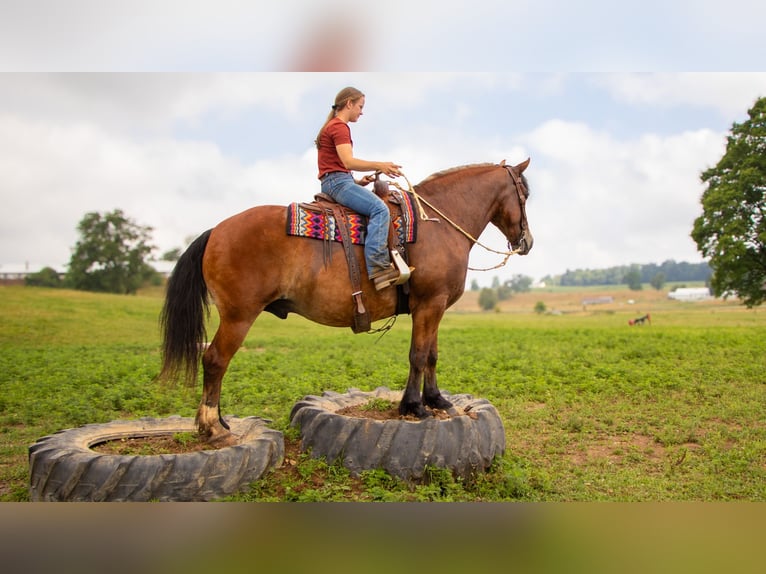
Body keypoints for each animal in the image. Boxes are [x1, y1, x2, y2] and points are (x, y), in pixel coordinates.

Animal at [160, 160, 536, 448]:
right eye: (526, 194)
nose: (527, 242)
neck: (439, 223)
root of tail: (216, 230)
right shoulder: (430, 304)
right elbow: (418, 355)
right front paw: (414, 407)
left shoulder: (434, 306)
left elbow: (431, 355)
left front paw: (437, 400)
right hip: (239, 316)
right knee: (215, 360)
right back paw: (212, 428)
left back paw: (220, 423)